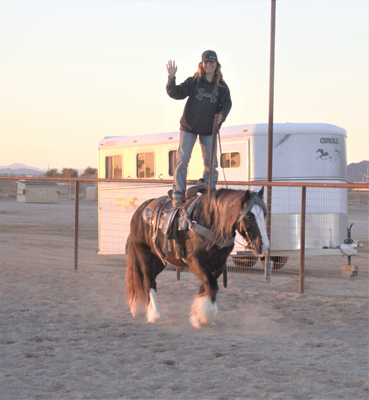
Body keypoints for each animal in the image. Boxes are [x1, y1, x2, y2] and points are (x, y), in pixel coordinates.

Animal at [125, 188, 268, 328]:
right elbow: (211, 284)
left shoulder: (219, 264)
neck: (210, 224)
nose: (264, 245)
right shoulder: (194, 261)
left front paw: (197, 315)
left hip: (160, 260)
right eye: (249, 215)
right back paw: (157, 315)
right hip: (145, 255)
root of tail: (140, 211)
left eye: (265, 214)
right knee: (149, 281)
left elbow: (206, 286)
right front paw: (205, 316)